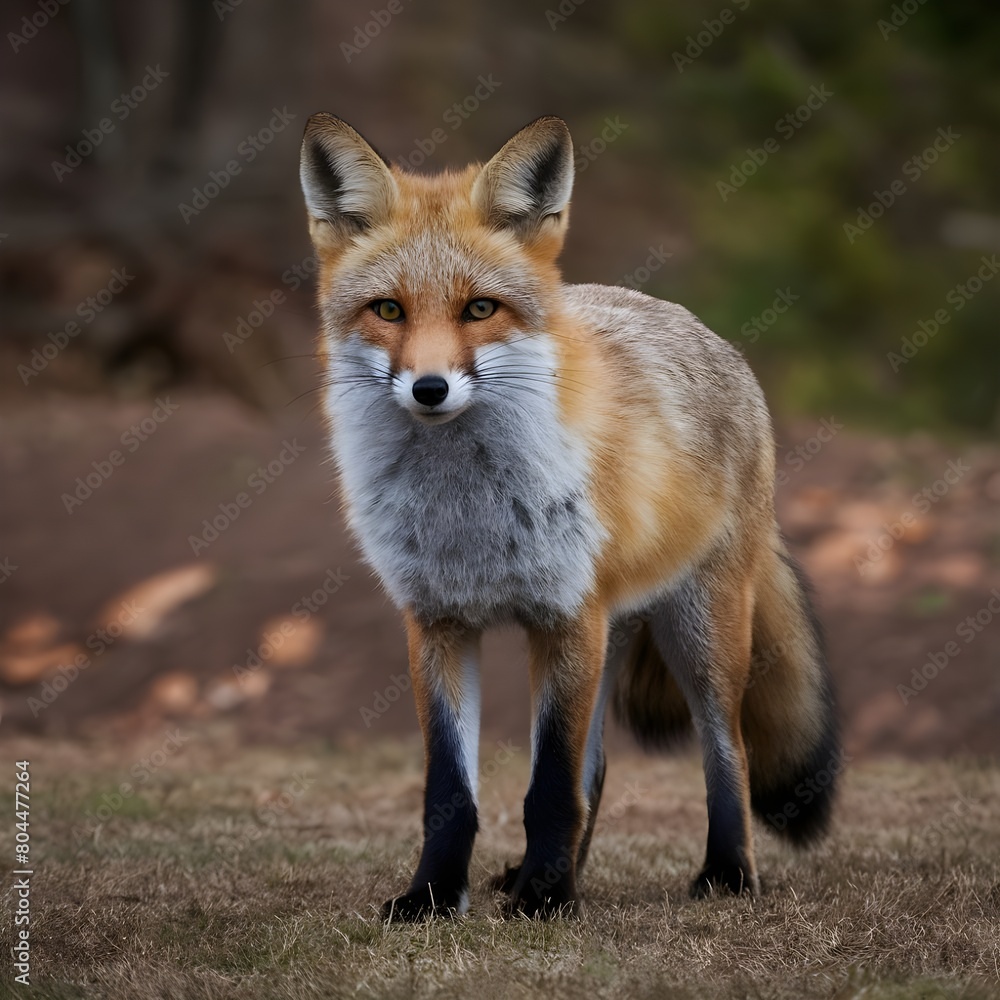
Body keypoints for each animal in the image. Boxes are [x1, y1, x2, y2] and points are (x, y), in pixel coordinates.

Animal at [300, 113, 840, 916]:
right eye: (388, 309)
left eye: (480, 308)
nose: (429, 388)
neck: (468, 513)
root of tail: (704, 330)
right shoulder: (437, 624)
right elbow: (453, 792)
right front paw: (436, 896)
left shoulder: (563, 615)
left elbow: (548, 788)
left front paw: (543, 903)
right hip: (608, 639)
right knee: (600, 771)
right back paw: (552, 875)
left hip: (698, 632)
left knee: (729, 751)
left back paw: (725, 874)